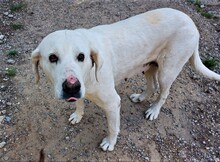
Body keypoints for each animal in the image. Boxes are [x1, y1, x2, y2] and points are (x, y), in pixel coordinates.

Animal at [31, 8, 220, 151]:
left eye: (81, 56)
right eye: (52, 58)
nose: (71, 86)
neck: (89, 74)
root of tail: (190, 21)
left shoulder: (112, 102)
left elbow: (113, 127)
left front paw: (109, 143)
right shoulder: (80, 90)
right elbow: (79, 102)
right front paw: (78, 115)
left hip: (167, 71)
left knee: (163, 93)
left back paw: (154, 110)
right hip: (149, 66)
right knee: (152, 86)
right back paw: (140, 97)